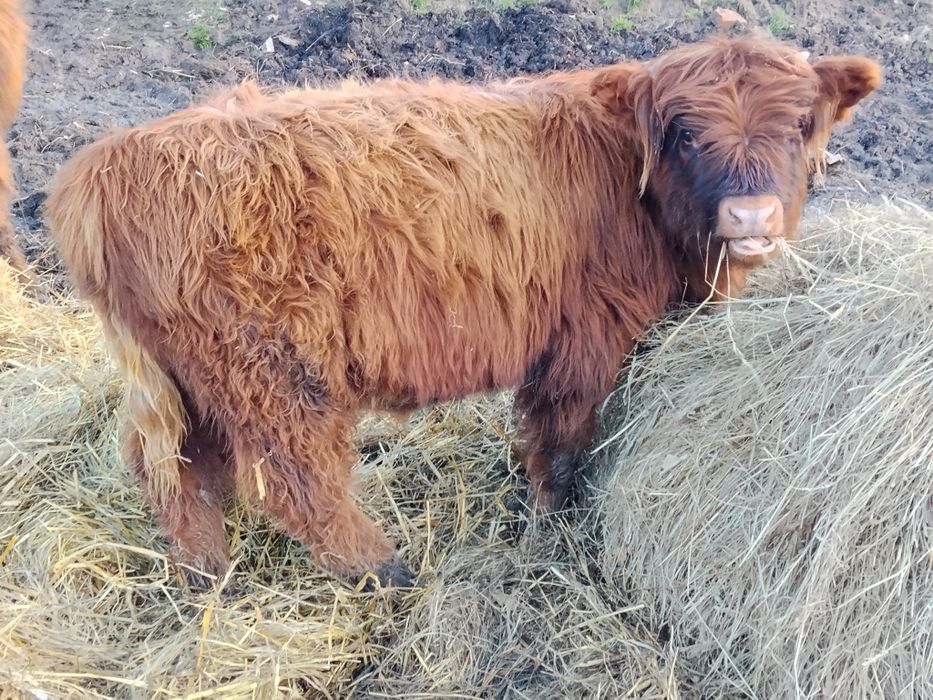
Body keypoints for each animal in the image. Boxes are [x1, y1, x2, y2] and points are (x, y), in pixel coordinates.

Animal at [46, 35, 880, 589]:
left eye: (799, 125)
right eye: (683, 134)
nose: (750, 218)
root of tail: (111, 159)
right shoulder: (586, 342)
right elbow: (564, 440)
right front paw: (552, 520)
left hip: (187, 378)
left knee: (172, 470)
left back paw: (205, 574)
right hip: (268, 369)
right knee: (292, 476)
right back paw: (381, 568)